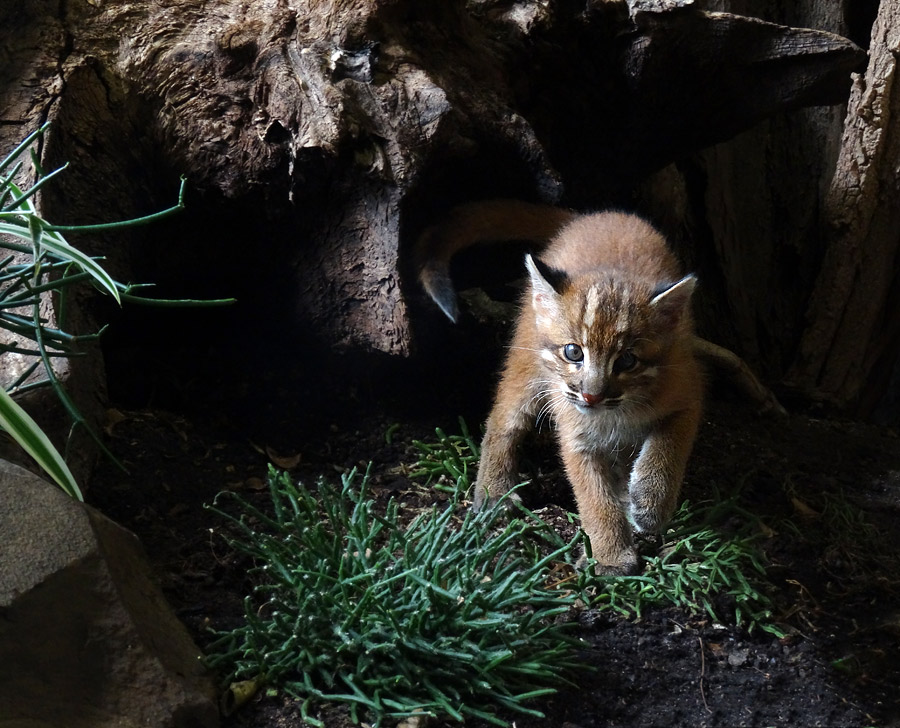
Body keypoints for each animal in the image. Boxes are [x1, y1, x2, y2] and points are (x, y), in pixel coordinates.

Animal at [414, 200, 704, 576]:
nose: (591, 394)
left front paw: (651, 504)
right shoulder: (576, 435)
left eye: (627, 361)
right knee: (502, 418)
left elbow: (668, 447)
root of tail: (592, 216)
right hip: (525, 363)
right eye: (573, 352)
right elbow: (593, 497)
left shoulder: (687, 391)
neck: (617, 411)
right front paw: (611, 556)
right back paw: (493, 492)